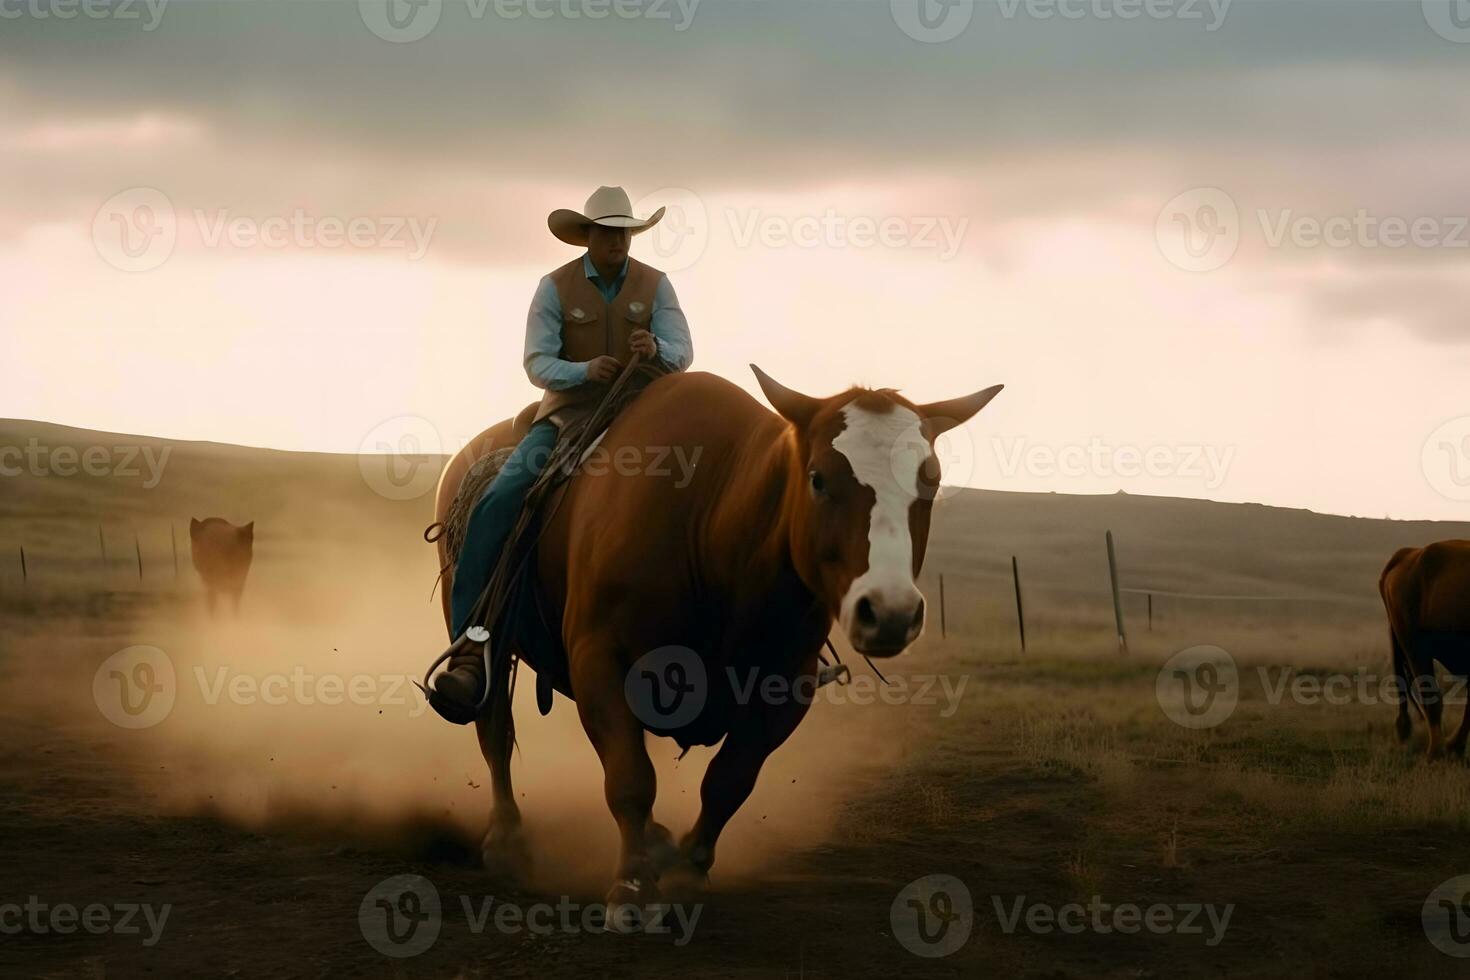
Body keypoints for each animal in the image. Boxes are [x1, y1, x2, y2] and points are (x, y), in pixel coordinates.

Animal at [426, 367, 999, 910]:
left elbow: (729, 780)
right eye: (818, 478)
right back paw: (506, 838)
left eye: (931, 482)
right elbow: (630, 778)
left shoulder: (785, 688)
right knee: (493, 726)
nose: (889, 612)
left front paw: (688, 868)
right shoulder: (600, 662)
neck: (711, 525)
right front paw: (632, 887)